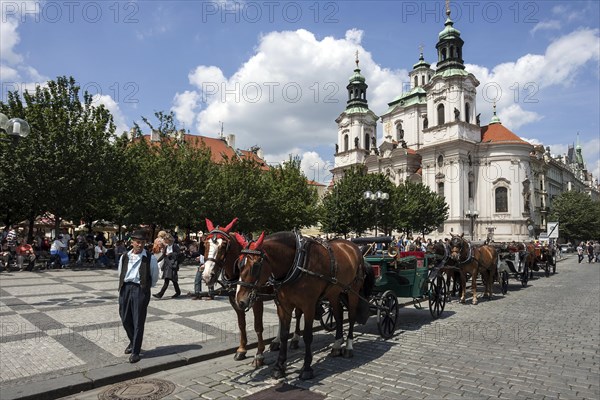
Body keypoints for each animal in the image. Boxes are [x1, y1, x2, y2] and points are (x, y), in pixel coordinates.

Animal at [234, 230, 370, 380]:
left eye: (255, 266)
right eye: (238, 264)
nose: (240, 301)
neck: (298, 262)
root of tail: (352, 246)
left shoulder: (309, 306)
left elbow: (308, 336)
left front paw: (306, 368)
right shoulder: (284, 305)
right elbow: (284, 335)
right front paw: (279, 367)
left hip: (353, 290)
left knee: (351, 317)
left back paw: (348, 347)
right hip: (334, 292)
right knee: (338, 315)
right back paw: (336, 345)